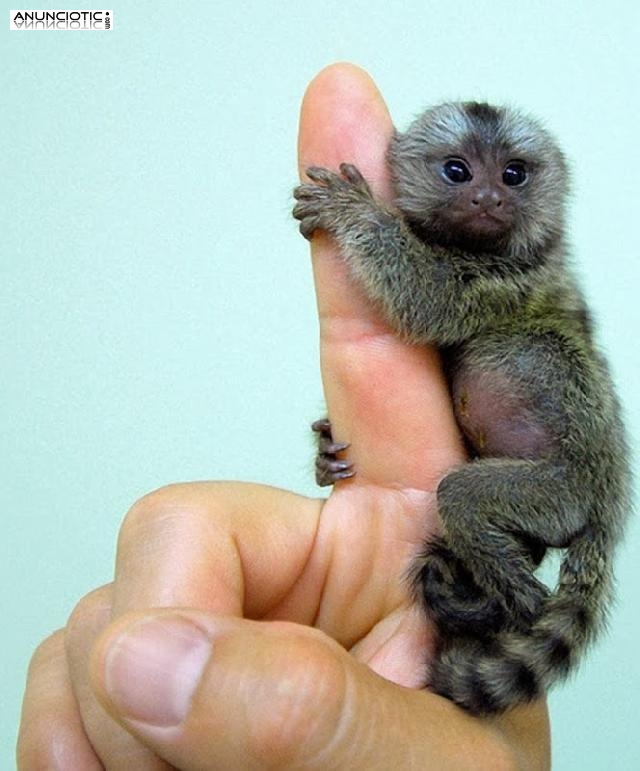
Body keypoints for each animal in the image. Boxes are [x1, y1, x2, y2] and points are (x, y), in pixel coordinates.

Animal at [292, 101, 630, 715]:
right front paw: (325, 449)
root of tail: (610, 511)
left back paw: (510, 599)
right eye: (458, 171)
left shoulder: (509, 278)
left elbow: (427, 298)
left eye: (513, 175)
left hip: (561, 494)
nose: (489, 199)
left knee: (465, 498)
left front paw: (355, 211)